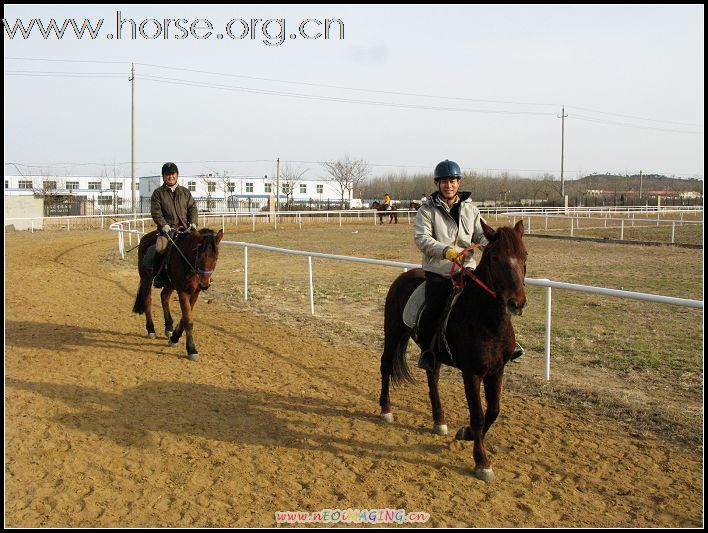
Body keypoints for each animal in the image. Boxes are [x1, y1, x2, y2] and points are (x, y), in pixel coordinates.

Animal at [131, 228, 223, 362]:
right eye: (199, 256)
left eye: (215, 258)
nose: (204, 284)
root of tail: (145, 238)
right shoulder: (183, 292)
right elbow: (188, 320)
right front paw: (192, 349)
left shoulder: (195, 293)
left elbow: (184, 318)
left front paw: (174, 337)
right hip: (146, 279)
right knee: (147, 300)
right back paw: (151, 329)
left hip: (169, 284)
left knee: (164, 297)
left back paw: (168, 327)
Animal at [382, 218, 524, 480]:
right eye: (495, 258)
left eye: (524, 255)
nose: (516, 303)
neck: (487, 320)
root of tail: (403, 278)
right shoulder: (472, 373)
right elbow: (478, 415)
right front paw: (482, 462)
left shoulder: (497, 370)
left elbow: (494, 410)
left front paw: (465, 434)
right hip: (393, 332)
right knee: (385, 366)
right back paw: (386, 409)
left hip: (431, 352)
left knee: (433, 378)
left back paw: (439, 420)